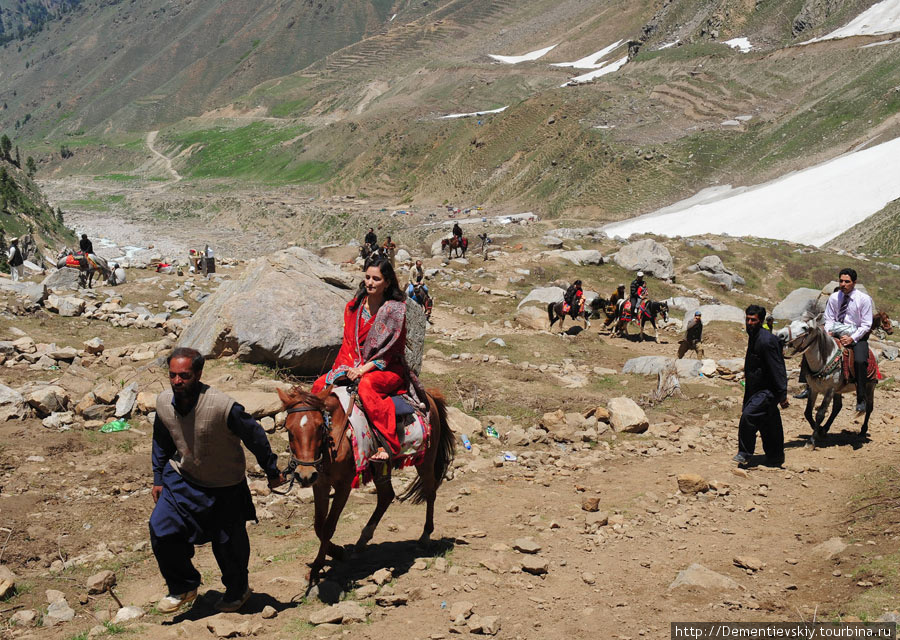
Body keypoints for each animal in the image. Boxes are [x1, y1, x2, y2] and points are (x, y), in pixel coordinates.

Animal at [276, 382, 458, 584]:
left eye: (319, 426)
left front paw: (319, 566)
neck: (335, 438)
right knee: (387, 496)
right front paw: (335, 553)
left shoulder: (344, 484)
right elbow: (318, 526)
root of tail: (430, 396)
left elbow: (329, 527)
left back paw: (425, 536)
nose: (305, 475)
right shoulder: (320, 483)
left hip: (425, 459)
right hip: (381, 467)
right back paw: (362, 541)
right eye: (289, 430)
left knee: (430, 491)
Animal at [776, 318, 876, 448]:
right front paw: (819, 431)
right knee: (837, 407)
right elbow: (808, 412)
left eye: (804, 328)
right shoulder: (814, 389)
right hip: (839, 390)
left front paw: (811, 441)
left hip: (870, 386)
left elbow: (820, 414)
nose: (780, 335)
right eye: (792, 323)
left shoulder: (830, 390)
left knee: (869, 407)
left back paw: (863, 430)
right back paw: (825, 429)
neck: (823, 361)